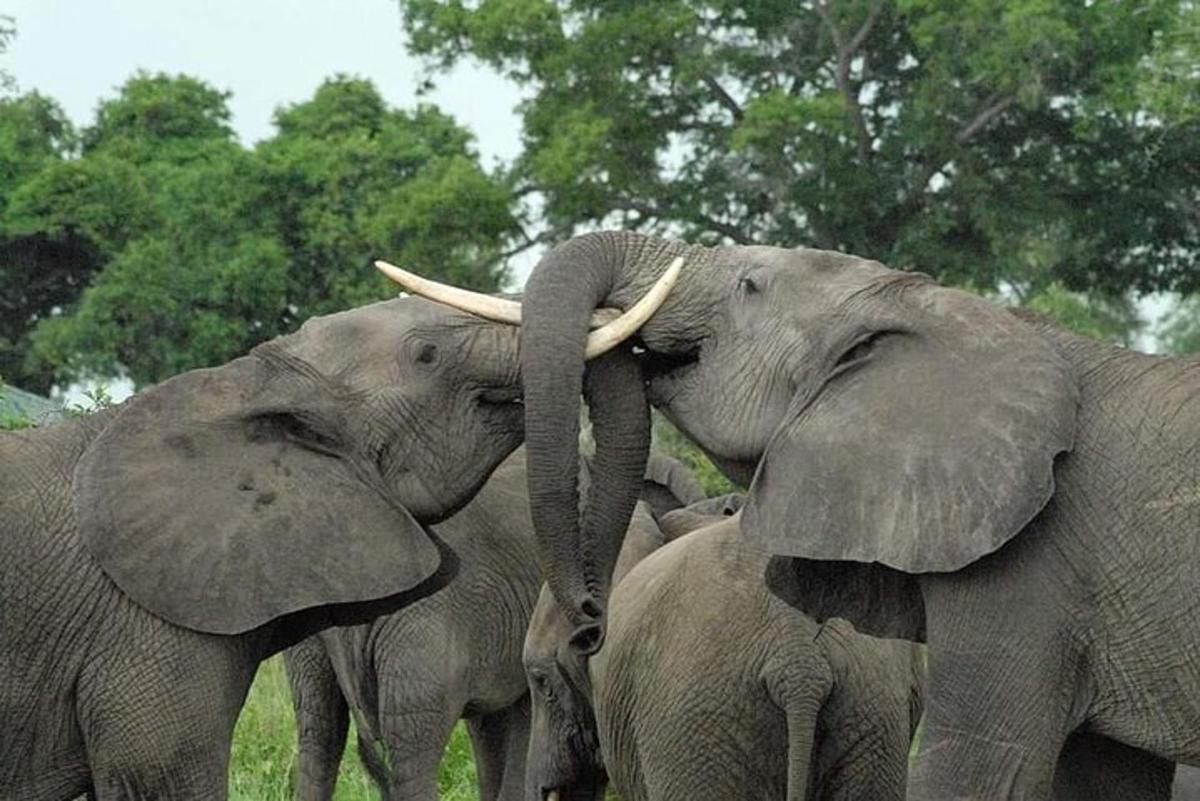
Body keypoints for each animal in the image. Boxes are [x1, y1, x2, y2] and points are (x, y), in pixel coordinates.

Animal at [0, 296, 554, 801]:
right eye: (426, 355)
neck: (246, 385)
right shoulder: (144, 627)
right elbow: (160, 778)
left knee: (320, 727)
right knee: (409, 734)